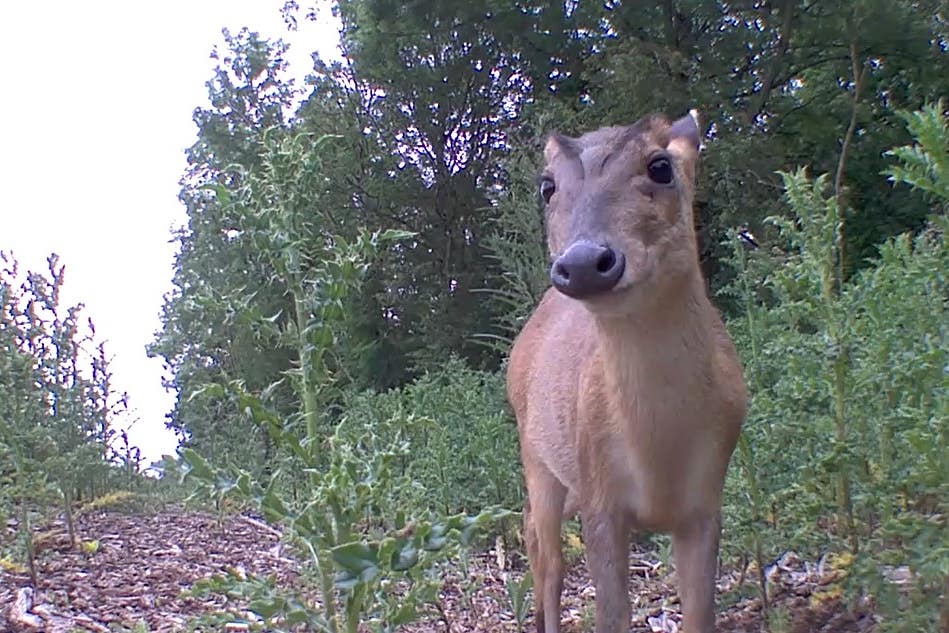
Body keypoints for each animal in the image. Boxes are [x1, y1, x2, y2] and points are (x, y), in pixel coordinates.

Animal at [508, 110, 744, 632]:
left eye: (660, 166)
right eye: (547, 186)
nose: (582, 262)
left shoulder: (706, 501)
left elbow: (701, 614)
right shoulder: (600, 495)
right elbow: (611, 616)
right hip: (537, 456)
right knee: (547, 555)